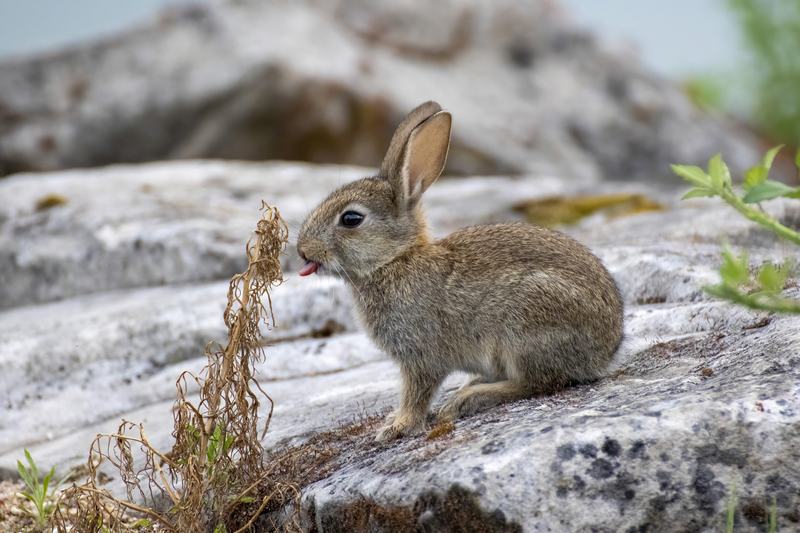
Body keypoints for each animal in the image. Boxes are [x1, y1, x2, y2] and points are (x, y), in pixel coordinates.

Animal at [297, 101, 624, 442]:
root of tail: (604, 352)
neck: (395, 259)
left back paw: (468, 399)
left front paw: (397, 427)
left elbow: (417, 393)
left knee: (538, 382)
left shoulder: (421, 355)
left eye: (351, 219)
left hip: (526, 325)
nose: (302, 250)